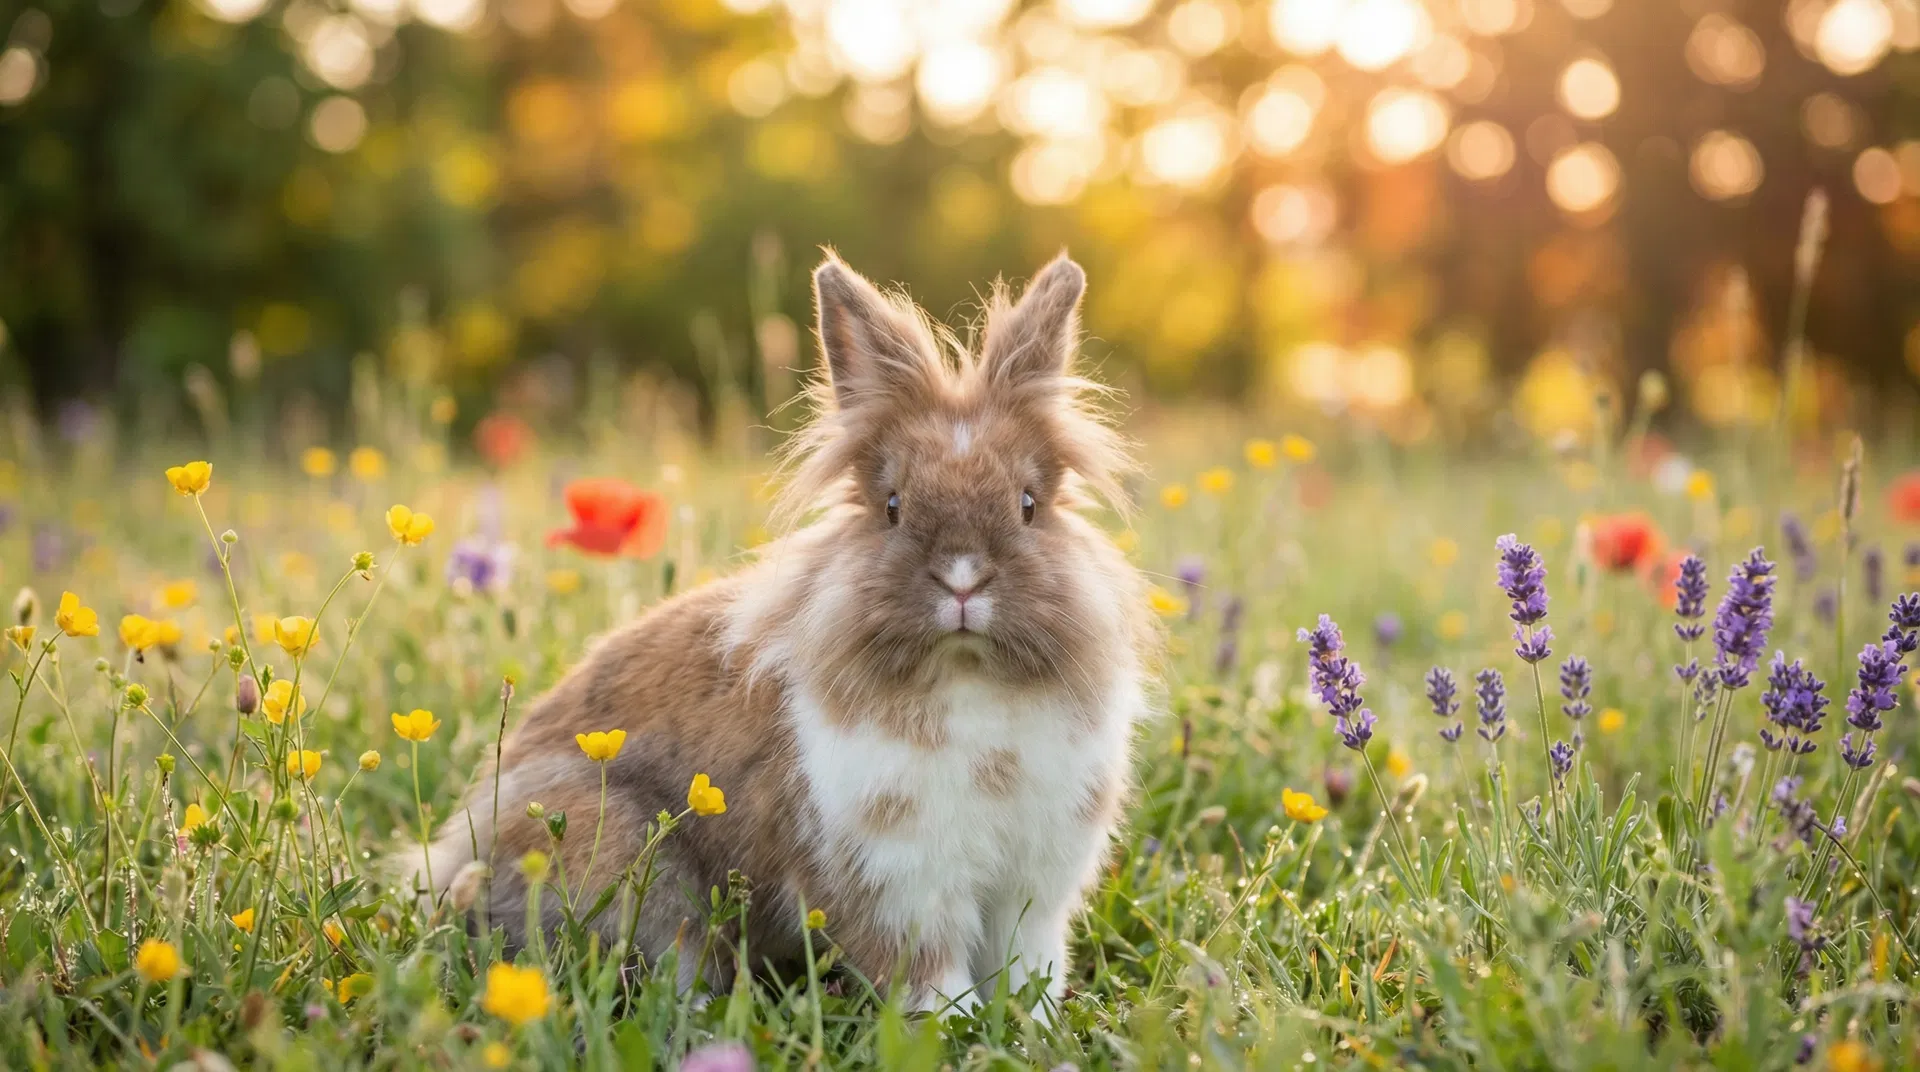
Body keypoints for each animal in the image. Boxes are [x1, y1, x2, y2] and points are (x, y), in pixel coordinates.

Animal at [410, 252, 1154, 1017]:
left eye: (1030, 505)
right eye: (892, 506)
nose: (963, 580)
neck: (966, 674)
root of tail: (460, 856)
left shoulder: (1031, 895)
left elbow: (1028, 968)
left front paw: (1033, 1025)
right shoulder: (902, 887)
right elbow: (933, 977)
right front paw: (956, 1029)